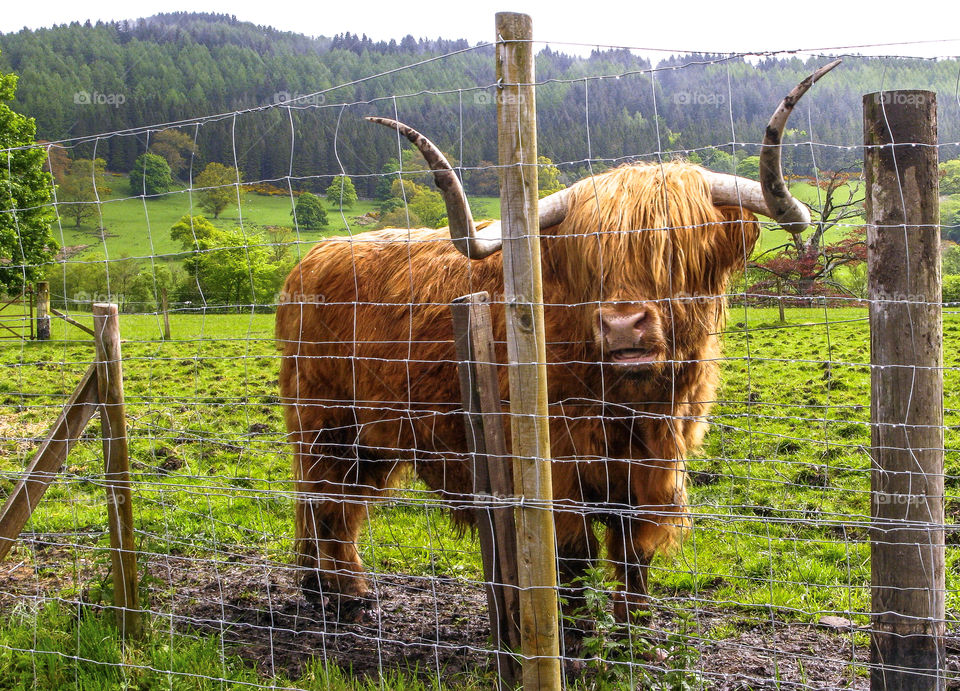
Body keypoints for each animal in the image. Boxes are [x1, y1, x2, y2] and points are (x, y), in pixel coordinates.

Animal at [274, 60, 836, 620]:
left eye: (676, 251)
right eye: (588, 259)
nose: (623, 325)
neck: (629, 405)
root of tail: (312, 258)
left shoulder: (654, 466)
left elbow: (634, 552)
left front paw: (633, 626)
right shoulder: (556, 467)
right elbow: (570, 555)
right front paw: (575, 633)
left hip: (370, 435)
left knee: (342, 504)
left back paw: (342, 588)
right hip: (325, 422)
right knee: (325, 500)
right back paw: (335, 593)